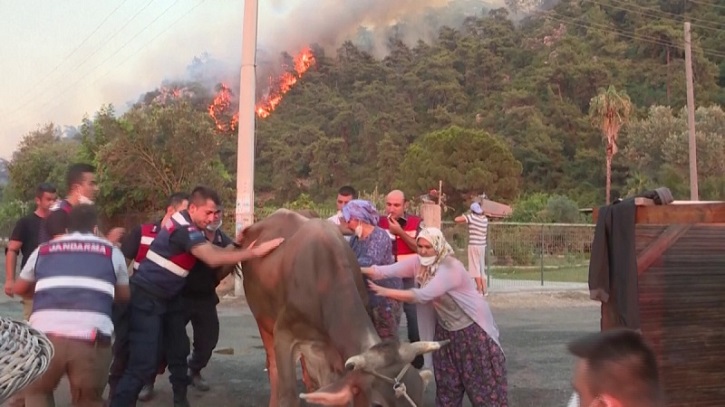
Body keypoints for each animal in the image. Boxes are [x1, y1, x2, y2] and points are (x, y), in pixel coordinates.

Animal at [240, 210, 442, 407]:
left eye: (420, 396)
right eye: (377, 404)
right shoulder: (284, 333)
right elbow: (287, 395)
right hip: (263, 320)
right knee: (272, 364)